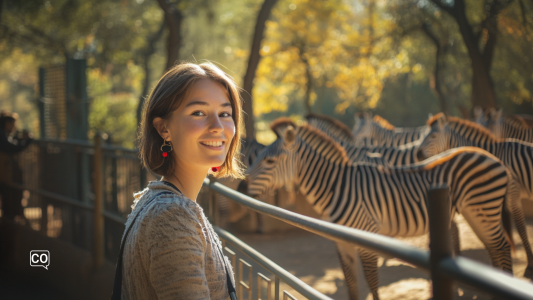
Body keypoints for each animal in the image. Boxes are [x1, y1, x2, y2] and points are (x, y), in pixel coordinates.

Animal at [247, 120, 512, 300]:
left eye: (269, 161)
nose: (243, 188)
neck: (336, 186)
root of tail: (487, 154)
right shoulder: (340, 242)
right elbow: (351, 283)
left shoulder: (367, 235)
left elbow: (371, 280)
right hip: (474, 212)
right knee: (495, 249)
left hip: (483, 209)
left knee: (502, 246)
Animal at [418, 113, 533, 278]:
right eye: (421, 136)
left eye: (433, 136)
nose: (418, 154)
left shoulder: (512, 191)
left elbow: (521, 227)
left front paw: (529, 265)